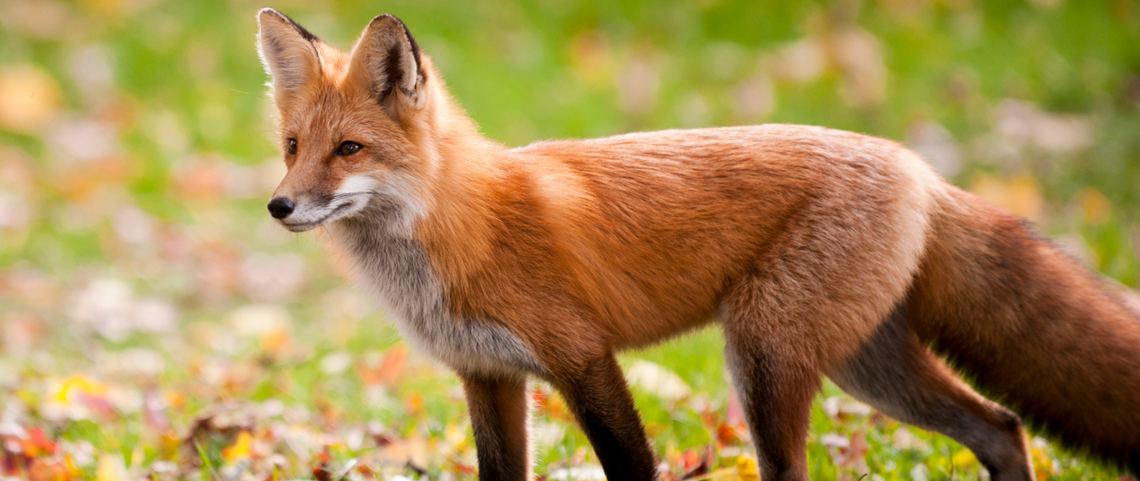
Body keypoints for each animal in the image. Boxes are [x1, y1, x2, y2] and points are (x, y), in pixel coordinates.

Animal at [256, 8, 1140, 481]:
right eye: (293, 146)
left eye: (349, 151)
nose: (279, 204)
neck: (456, 228)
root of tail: (918, 166)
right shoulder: (488, 375)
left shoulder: (581, 355)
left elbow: (631, 463)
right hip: (868, 366)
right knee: (1002, 424)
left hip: (764, 360)